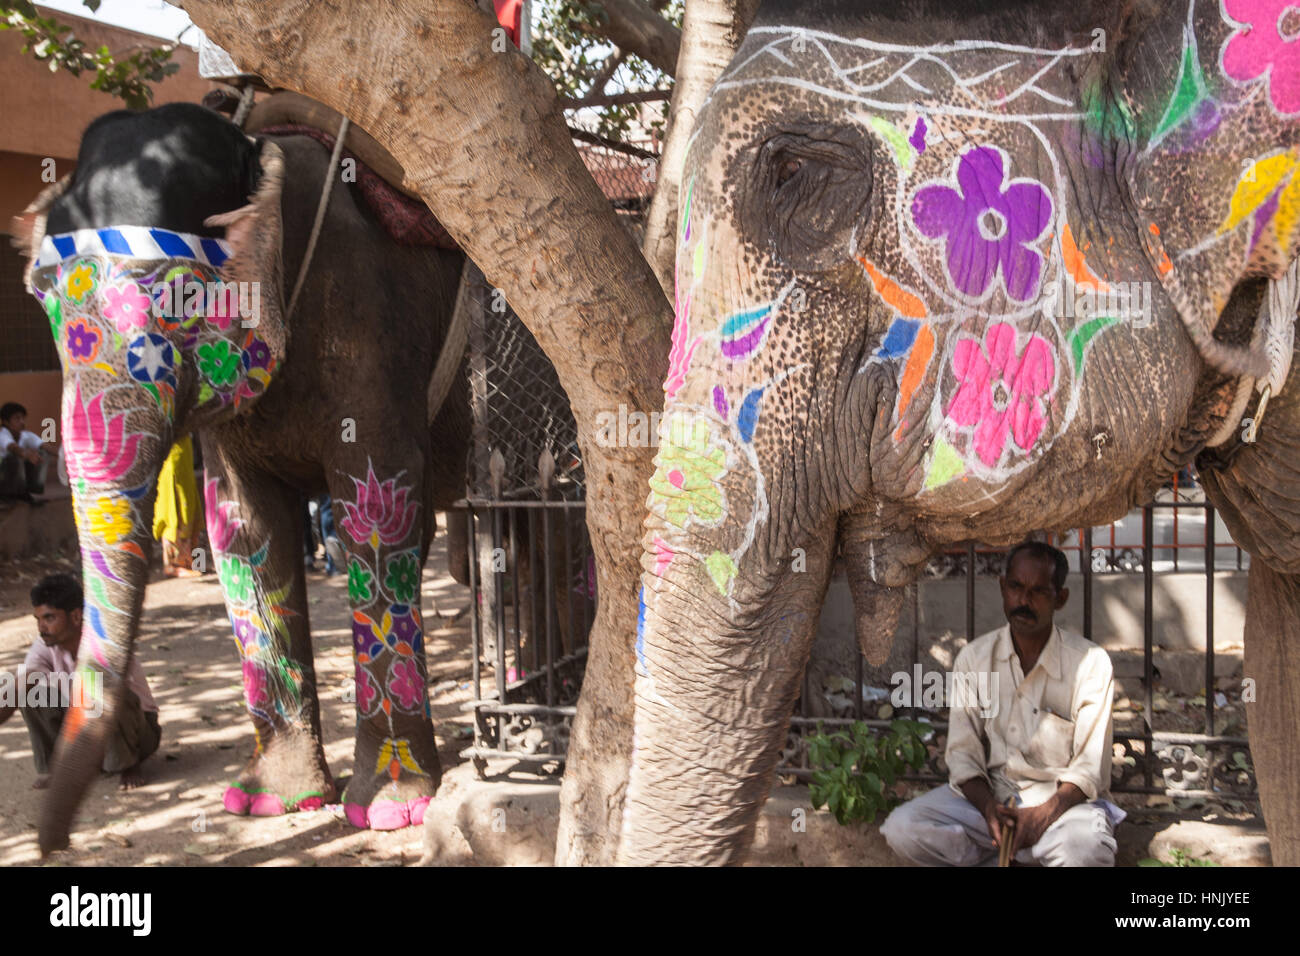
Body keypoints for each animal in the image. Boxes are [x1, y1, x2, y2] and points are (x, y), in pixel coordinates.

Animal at [17, 98, 470, 853]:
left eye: (178, 299)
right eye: (43, 305)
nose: (55, 846)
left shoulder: (372, 321)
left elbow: (377, 507)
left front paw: (388, 813)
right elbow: (243, 526)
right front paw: (266, 805)